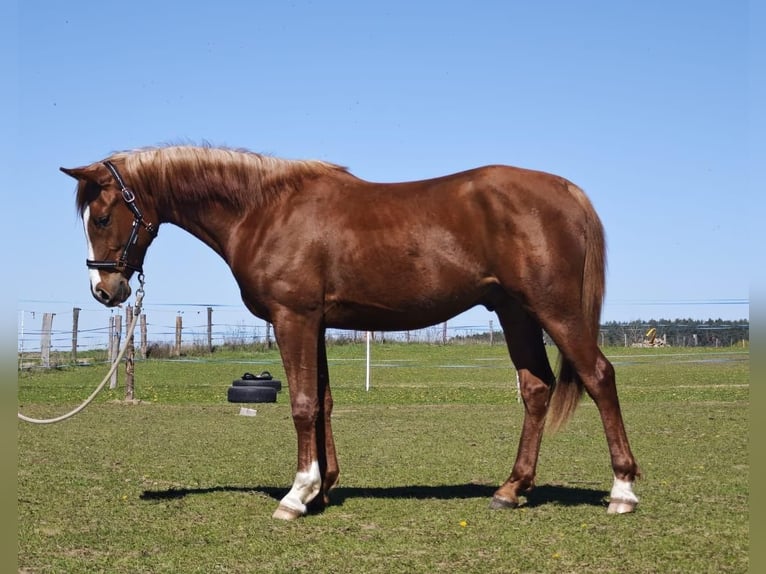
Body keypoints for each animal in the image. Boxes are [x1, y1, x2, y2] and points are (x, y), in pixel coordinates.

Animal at [61, 144, 640, 520]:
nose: (104, 290)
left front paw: (297, 496)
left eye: (104, 216)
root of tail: (566, 190)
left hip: (555, 310)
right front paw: (323, 488)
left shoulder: (293, 317)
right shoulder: (315, 322)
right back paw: (510, 488)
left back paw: (622, 491)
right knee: (537, 388)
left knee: (598, 376)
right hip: (516, 313)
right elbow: (322, 400)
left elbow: (300, 403)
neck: (265, 210)